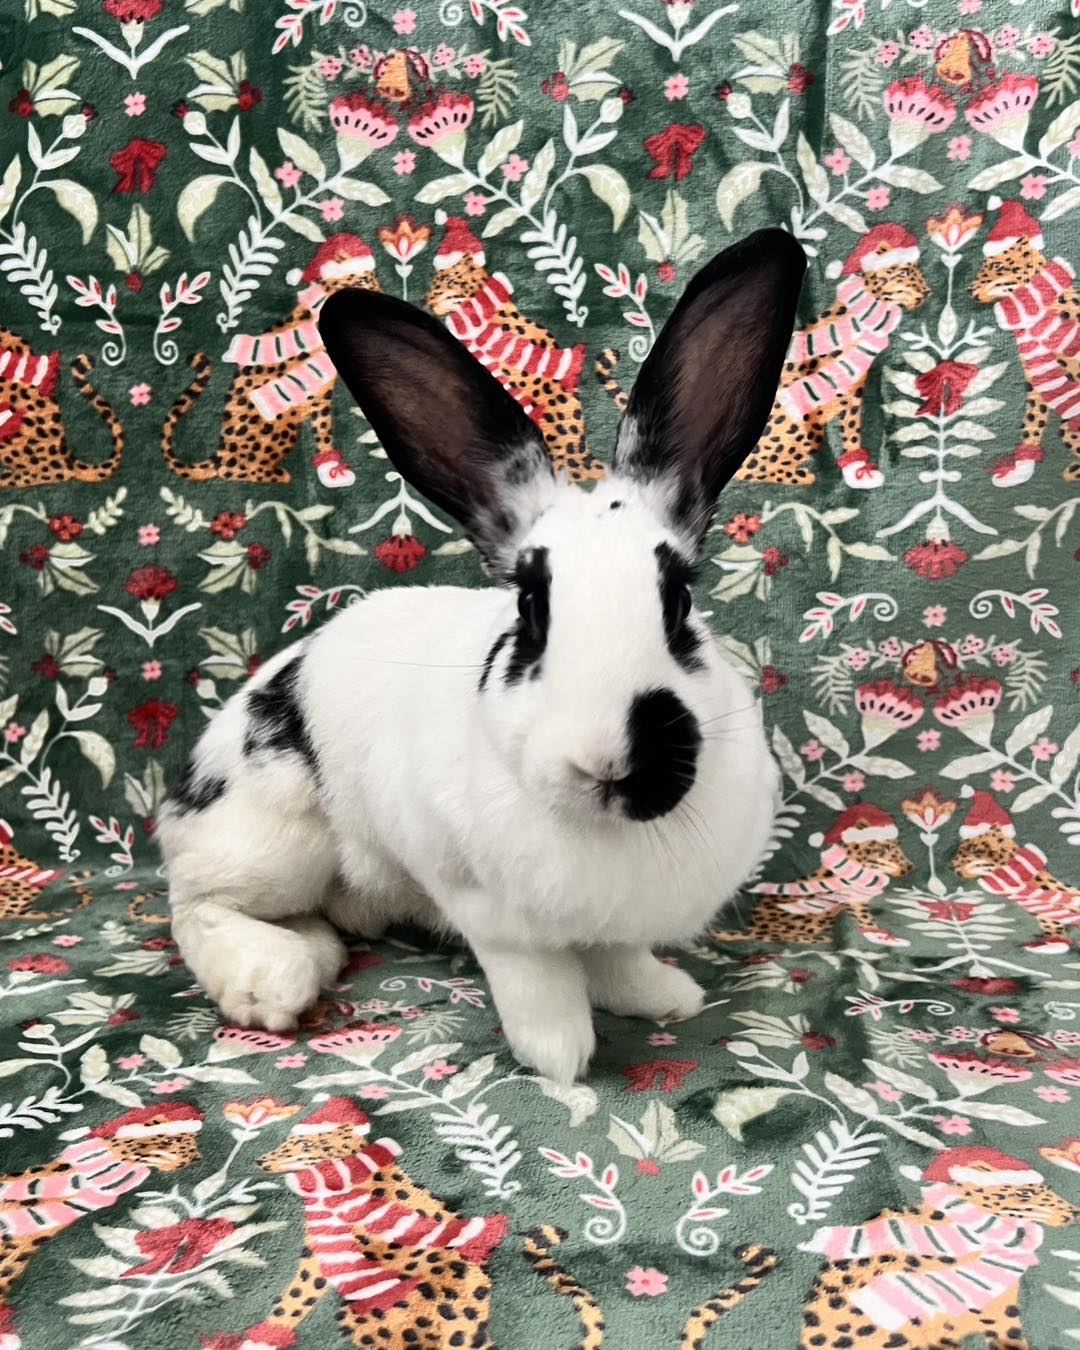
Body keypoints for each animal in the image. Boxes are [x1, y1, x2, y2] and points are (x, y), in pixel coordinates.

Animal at [158, 228, 807, 1085]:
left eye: (679, 601)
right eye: (530, 609)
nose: (606, 761)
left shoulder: (615, 922)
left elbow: (619, 959)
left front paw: (664, 999)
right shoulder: (490, 911)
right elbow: (538, 982)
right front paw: (561, 1058)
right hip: (274, 838)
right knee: (195, 900)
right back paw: (273, 979)